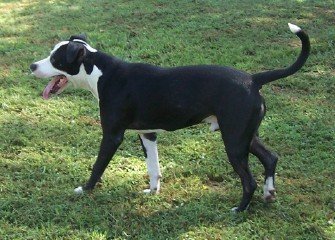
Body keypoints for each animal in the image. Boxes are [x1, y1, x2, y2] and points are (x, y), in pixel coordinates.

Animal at [30, 23, 312, 212]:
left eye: (55, 58)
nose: (32, 66)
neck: (101, 73)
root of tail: (253, 79)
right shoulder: (147, 134)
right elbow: (153, 168)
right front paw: (153, 192)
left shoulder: (112, 136)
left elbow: (98, 166)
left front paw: (85, 189)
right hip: (244, 136)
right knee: (270, 157)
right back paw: (269, 193)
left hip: (234, 143)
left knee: (249, 180)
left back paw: (239, 209)